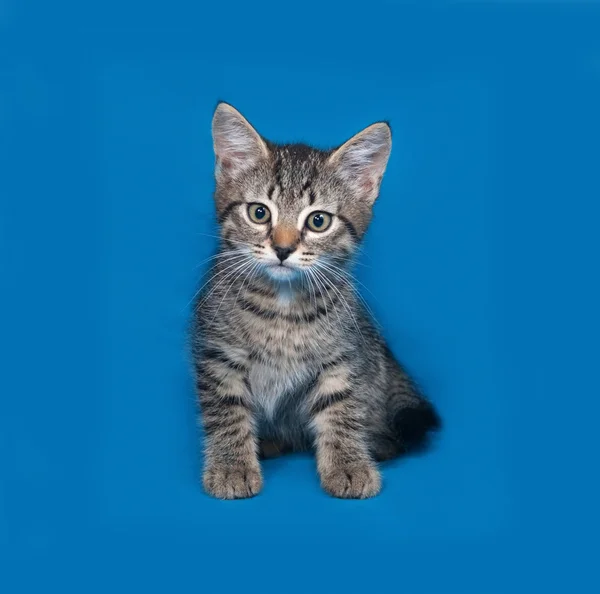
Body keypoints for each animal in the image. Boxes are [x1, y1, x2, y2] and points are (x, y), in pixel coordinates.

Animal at [192, 104, 440, 498]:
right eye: (259, 213)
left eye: (318, 221)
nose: (282, 249)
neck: (280, 307)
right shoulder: (218, 354)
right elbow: (227, 410)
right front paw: (231, 466)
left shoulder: (343, 356)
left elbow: (341, 408)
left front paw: (349, 464)